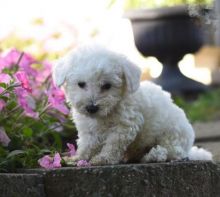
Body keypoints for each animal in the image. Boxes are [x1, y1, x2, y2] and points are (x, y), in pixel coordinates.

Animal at [52, 45, 212, 165]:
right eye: (81, 84)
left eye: (107, 86)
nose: (91, 107)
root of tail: (189, 148)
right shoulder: (87, 128)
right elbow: (87, 143)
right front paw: (78, 158)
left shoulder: (125, 125)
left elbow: (113, 144)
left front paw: (104, 158)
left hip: (171, 135)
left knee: (170, 152)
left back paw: (152, 155)